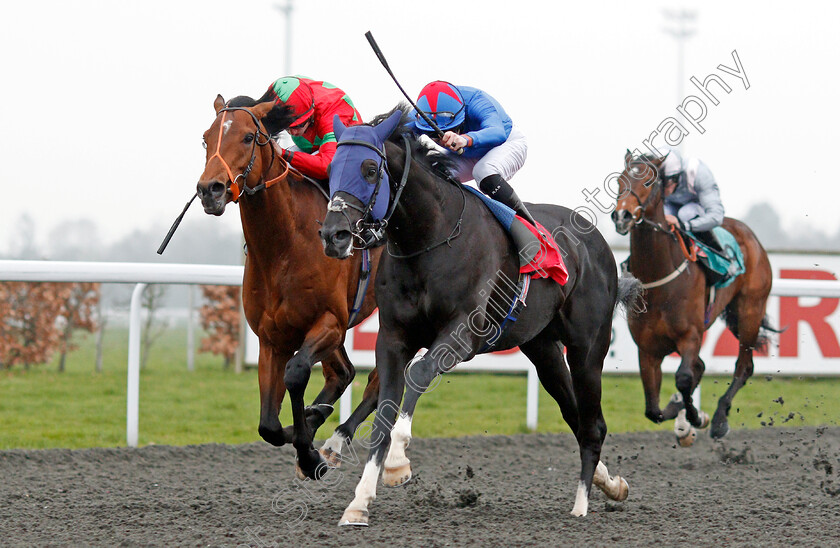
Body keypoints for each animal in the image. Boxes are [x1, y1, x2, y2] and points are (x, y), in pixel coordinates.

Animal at [195, 95, 378, 480]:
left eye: (249, 137)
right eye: (206, 139)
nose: (209, 190)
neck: (284, 245)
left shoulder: (329, 321)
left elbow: (296, 372)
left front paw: (310, 454)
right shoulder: (272, 337)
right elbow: (268, 424)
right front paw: (306, 427)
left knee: (376, 378)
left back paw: (335, 441)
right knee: (344, 372)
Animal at [318, 108, 640, 528]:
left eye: (370, 169)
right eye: (332, 167)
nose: (333, 235)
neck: (429, 238)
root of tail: (596, 242)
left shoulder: (462, 335)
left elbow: (418, 374)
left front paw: (398, 461)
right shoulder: (392, 337)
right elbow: (385, 409)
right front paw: (359, 502)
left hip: (588, 348)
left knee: (593, 424)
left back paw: (581, 504)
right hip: (543, 349)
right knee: (576, 415)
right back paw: (609, 484)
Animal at [612, 152, 776, 444]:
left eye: (648, 181)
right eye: (620, 180)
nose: (622, 215)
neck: (659, 279)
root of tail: (748, 234)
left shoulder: (690, 335)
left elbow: (685, 378)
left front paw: (697, 418)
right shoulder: (648, 349)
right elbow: (653, 409)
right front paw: (680, 414)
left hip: (750, 311)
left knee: (743, 367)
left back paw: (720, 419)